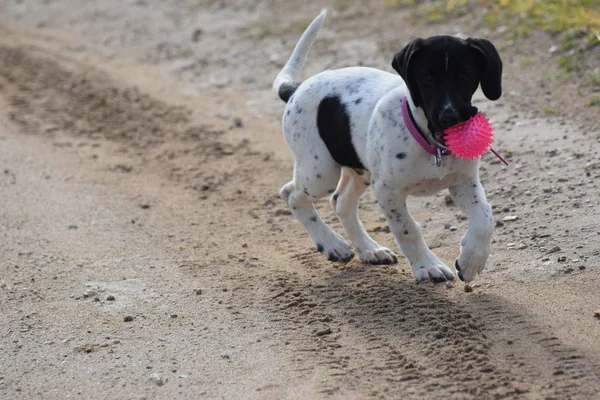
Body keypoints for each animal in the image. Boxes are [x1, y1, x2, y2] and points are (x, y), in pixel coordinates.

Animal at [272, 10, 502, 284]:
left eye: (465, 76)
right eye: (426, 79)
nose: (450, 118)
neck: (430, 143)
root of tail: (296, 89)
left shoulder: (463, 183)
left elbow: (485, 217)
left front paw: (472, 261)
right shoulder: (387, 190)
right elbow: (408, 229)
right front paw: (427, 265)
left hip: (359, 169)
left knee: (340, 202)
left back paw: (369, 250)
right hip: (320, 172)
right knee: (292, 195)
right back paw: (332, 244)